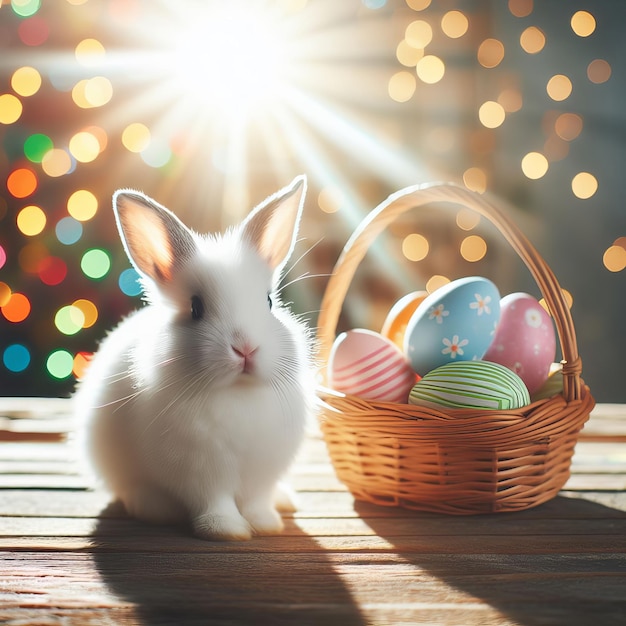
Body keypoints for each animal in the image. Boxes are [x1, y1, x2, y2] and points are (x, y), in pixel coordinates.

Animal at [73, 176, 314, 540]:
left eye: (269, 303)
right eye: (196, 308)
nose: (245, 348)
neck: (237, 395)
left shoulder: (261, 471)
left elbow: (256, 500)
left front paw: (267, 525)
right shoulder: (200, 472)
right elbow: (215, 502)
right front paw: (227, 532)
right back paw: (153, 508)